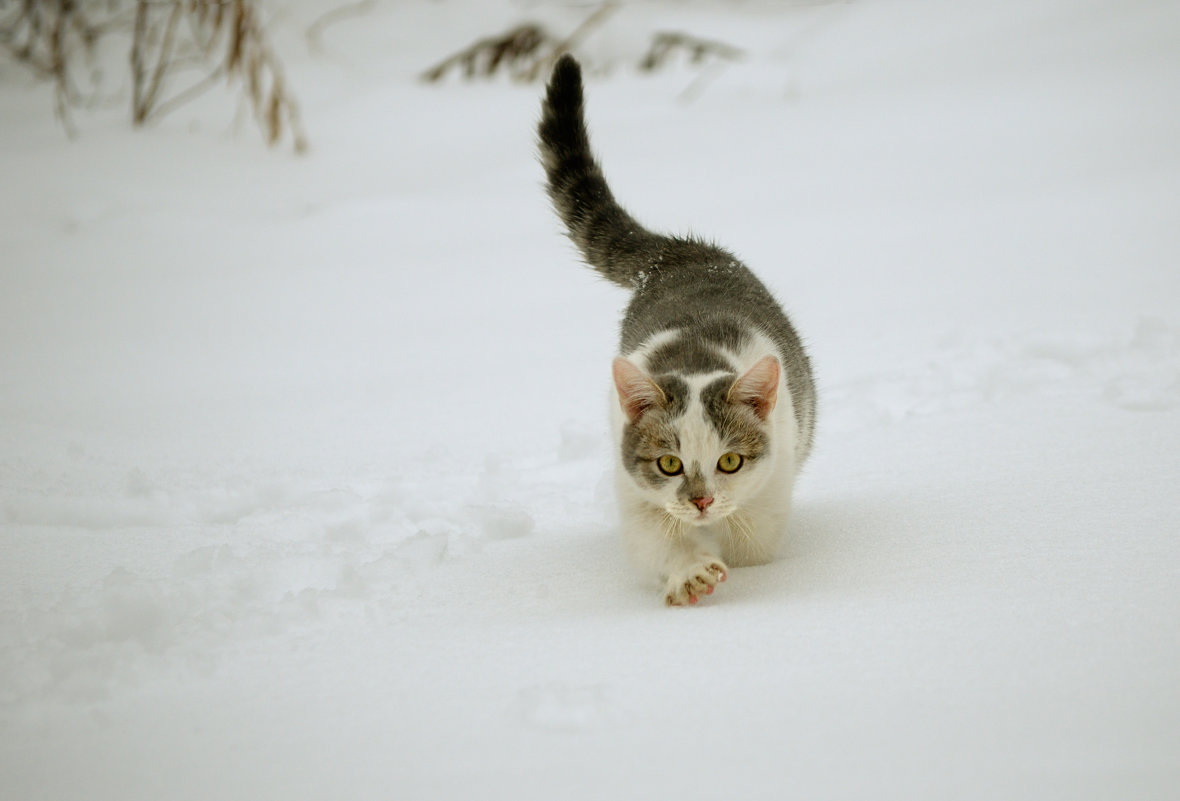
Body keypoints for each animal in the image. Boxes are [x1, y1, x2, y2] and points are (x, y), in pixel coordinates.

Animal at [540, 54, 816, 608]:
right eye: (669, 465)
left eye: (730, 461)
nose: (702, 500)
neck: (694, 356)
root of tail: (678, 249)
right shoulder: (634, 487)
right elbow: (655, 541)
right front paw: (689, 572)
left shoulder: (770, 485)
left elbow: (753, 549)